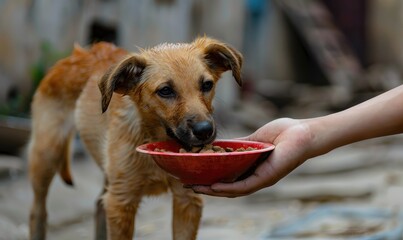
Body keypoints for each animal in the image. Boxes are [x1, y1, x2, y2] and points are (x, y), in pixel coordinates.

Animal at [28, 36, 243, 240]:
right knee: (38, 212)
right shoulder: (121, 203)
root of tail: (78, 54)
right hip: (46, 154)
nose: (205, 131)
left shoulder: (187, 199)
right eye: (165, 90)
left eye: (207, 85)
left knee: (99, 205)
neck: (154, 137)